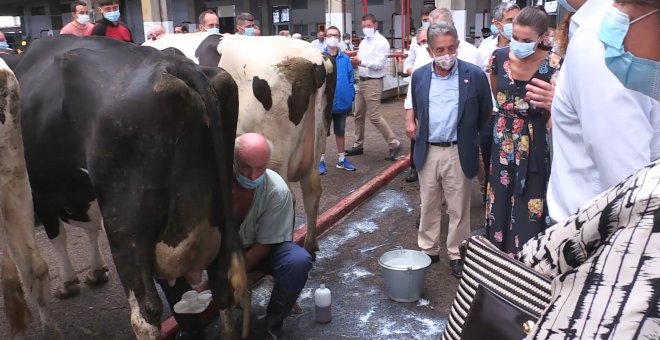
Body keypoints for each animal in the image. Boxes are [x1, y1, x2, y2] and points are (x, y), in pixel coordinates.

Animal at [6, 35, 248, 338]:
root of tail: (173, 62)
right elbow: (88, 229)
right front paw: (96, 271)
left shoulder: (40, 195)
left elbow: (57, 237)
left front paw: (69, 282)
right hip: (220, 209)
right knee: (223, 286)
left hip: (126, 224)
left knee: (145, 312)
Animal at [146, 33, 338, 258]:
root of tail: (313, 58)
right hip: (317, 143)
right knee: (312, 191)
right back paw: (310, 247)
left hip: (274, 154)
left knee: (290, 197)